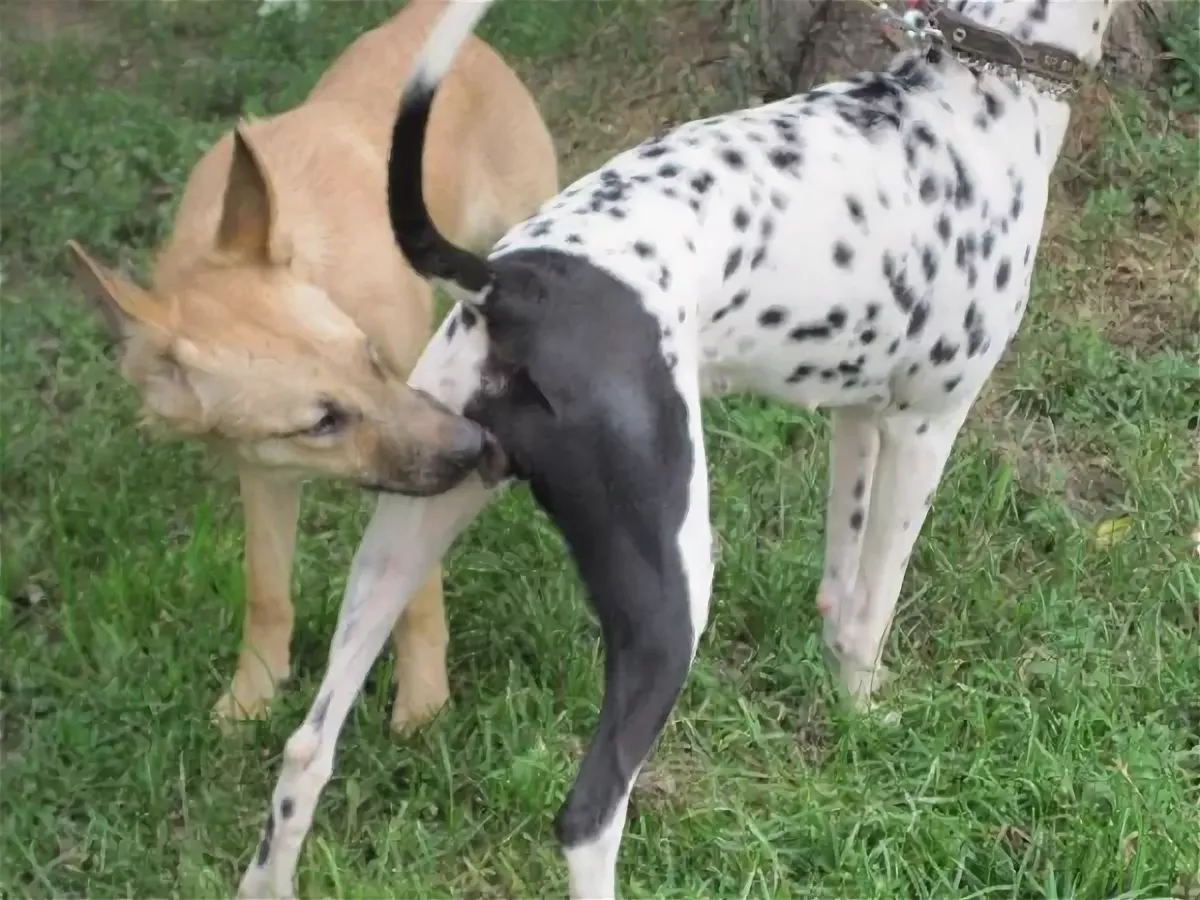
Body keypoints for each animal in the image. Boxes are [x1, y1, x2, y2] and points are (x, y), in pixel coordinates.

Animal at [62, 0, 556, 734]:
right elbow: (266, 589)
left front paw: (423, 702)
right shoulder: (264, 473)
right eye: (321, 422)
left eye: (369, 356)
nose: (475, 448)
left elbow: (415, 594)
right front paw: (253, 694)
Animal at [241, 0, 1123, 897]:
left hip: (403, 540)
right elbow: (874, 607)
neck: (976, 89)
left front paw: (846, 713)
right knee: (589, 813)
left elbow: (840, 597)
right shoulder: (925, 427)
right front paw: (871, 719)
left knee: (307, 749)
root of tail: (513, 284)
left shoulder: (856, 419)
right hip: (671, 591)